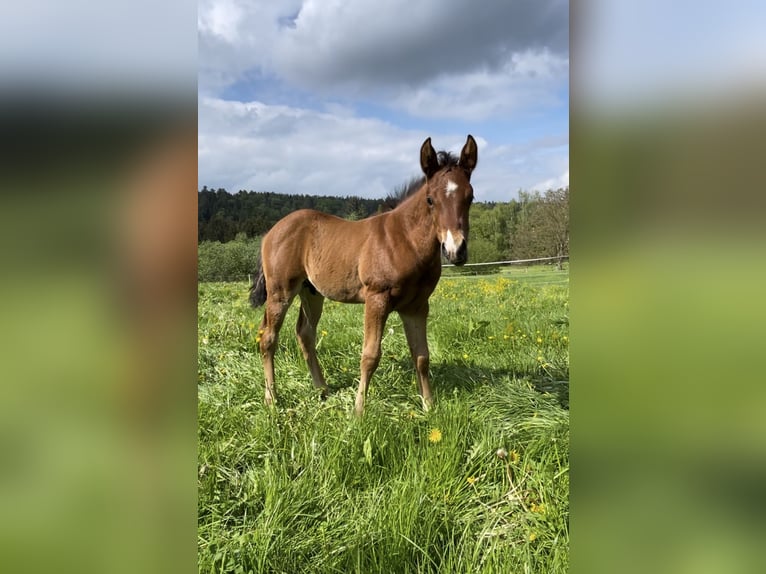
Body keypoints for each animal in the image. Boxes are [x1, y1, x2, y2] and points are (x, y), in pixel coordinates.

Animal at [250, 135, 478, 415]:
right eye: (430, 199)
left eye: (470, 197)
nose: (455, 250)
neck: (405, 241)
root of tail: (272, 231)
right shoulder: (376, 298)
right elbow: (370, 355)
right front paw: (359, 410)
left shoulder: (417, 306)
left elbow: (422, 356)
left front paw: (428, 405)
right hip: (280, 290)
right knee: (268, 337)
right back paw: (272, 398)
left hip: (311, 292)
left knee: (305, 333)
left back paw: (322, 389)